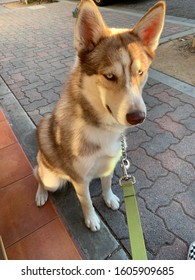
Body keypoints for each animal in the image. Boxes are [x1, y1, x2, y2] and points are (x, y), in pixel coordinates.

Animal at [34, 0, 165, 232]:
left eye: (140, 73)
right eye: (110, 76)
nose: (137, 117)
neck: (101, 129)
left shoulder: (109, 164)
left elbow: (106, 185)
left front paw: (109, 198)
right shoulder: (80, 180)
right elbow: (86, 201)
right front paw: (92, 220)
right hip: (51, 179)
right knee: (38, 176)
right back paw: (40, 194)